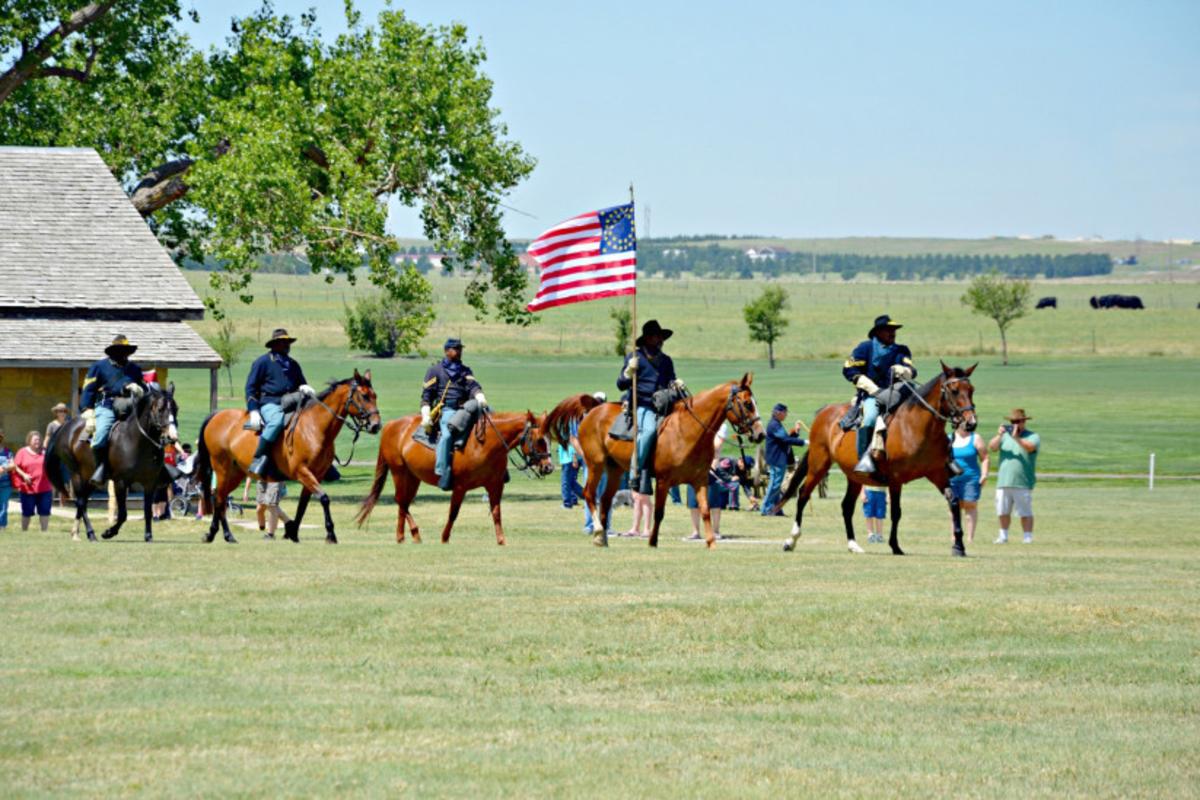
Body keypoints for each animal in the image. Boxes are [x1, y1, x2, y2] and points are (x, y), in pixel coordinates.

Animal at [44, 383, 177, 544]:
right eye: (160, 409)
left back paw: (76, 533)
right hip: (77, 475)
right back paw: (91, 534)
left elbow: (147, 510)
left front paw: (148, 535)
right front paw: (108, 532)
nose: (172, 436)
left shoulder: (149, 483)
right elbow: (123, 514)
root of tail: (66, 426)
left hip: (90, 479)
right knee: (81, 502)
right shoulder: (120, 482)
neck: (137, 442)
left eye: (176, 408)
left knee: (83, 502)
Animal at [195, 371, 379, 544]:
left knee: (220, 498)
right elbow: (324, 498)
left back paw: (220, 535)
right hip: (222, 469)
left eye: (375, 395)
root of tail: (217, 415)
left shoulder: (314, 476)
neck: (314, 428)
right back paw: (220, 534)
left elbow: (303, 505)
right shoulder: (302, 472)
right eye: (364, 396)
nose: (376, 425)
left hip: (236, 473)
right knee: (219, 499)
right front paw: (330, 534)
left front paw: (293, 532)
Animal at [352, 410, 554, 546]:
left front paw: (501, 540)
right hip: (399, 472)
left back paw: (406, 536)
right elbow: (453, 512)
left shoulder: (495, 485)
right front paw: (444, 538)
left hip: (413, 477)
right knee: (401, 501)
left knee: (404, 503)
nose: (549, 467)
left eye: (549, 439)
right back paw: (408, 535)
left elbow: (496, 512)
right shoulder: (460, 487)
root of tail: (391, 425)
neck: (485, 443)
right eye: (539, 440)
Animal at [547, 374, 763, 551]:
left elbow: (705, 511)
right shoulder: (663, 481)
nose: (760, 434)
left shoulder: (700, 480)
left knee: (606, 500)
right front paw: (652, 541)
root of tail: (594, 409)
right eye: (747, 404)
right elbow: (659, 512)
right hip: (595, 465)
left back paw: (603, 539)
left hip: (615, 470)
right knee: (590, 495)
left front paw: (711, 543)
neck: (689, 430)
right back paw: (599, 532)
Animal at [772, 362, 979, 556]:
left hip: (854, 476)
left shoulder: (937, 473)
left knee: (846, 506)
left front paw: (959, 546)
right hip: (818, 465)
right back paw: (791, 540)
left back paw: (853, 544)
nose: (971, 423)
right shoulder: (896, 479)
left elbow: (954, 502)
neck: (916, 428)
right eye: (954, 390)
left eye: (971, 390)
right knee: (803, 495)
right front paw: (895, 546)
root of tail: (824, 411)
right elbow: (896, 512)